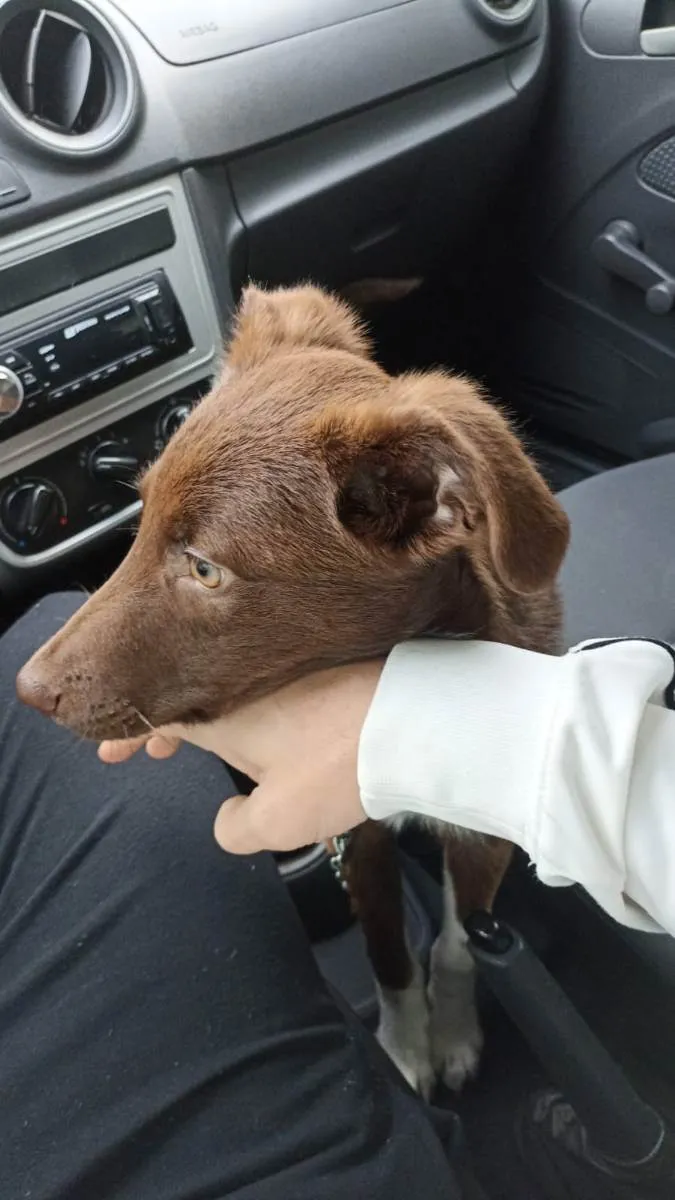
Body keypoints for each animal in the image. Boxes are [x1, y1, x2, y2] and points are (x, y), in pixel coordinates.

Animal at [15, 280, 564, 1099]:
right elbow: (387, 953)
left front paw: (455, 1035)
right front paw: (406, 1048)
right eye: (139, 516)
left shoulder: (480, 832)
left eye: (205, 568)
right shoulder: (354, 835)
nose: (25, 689)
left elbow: (463, 941)